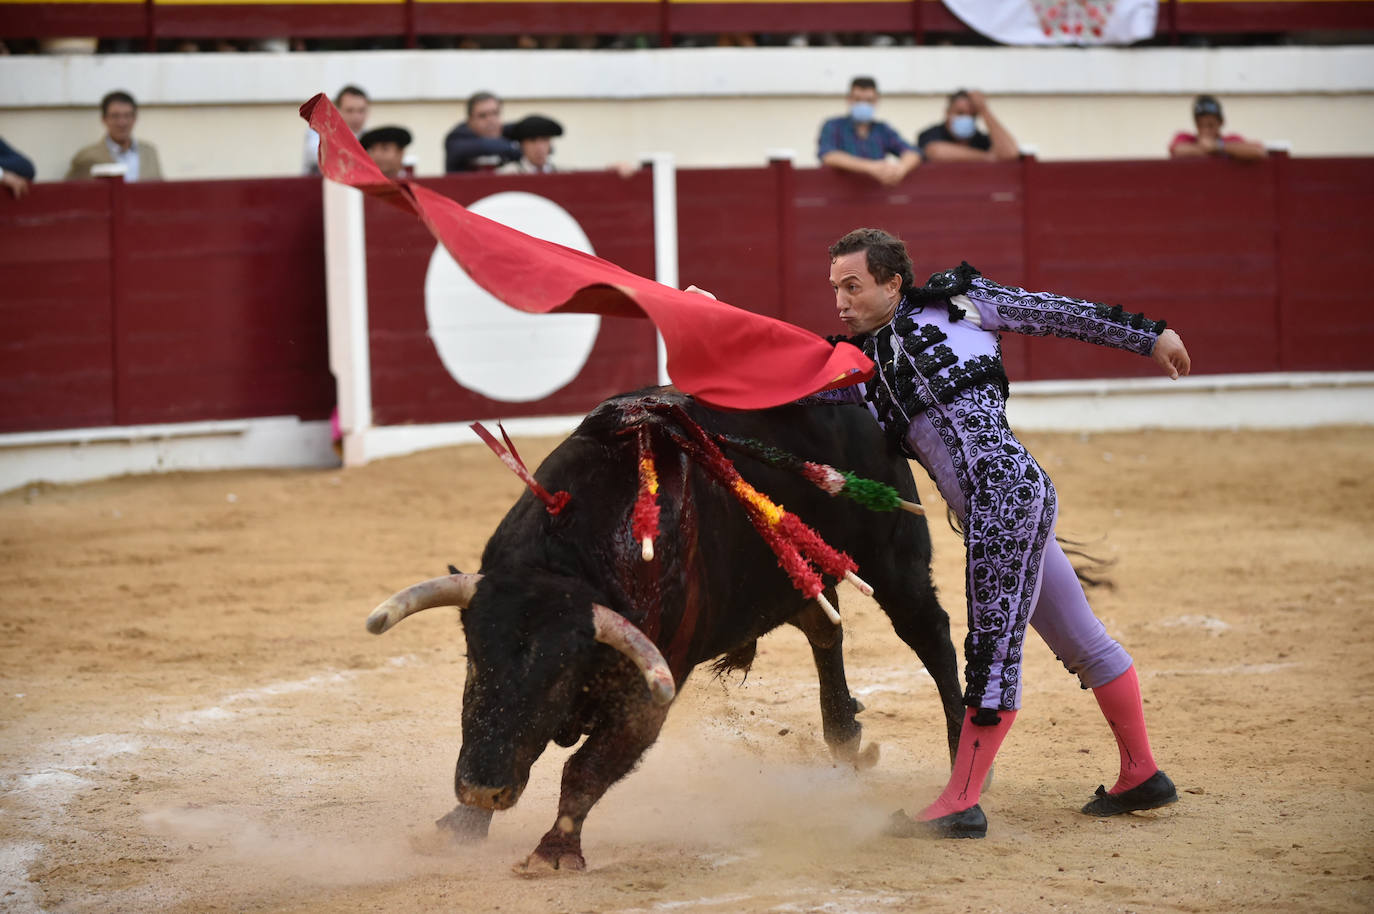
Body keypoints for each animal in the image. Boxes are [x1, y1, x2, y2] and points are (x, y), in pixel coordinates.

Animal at [365, 387, 967, 868]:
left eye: (557, 677)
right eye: (474, 662)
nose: (480, 788)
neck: (565, 562)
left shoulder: (649, 689)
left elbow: (585, 770)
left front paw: (553, 851)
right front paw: (462, 827)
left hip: (893, 560)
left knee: (931, 634)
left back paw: (962, 759)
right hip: (793, 571)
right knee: (824, 626)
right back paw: (845, 736)